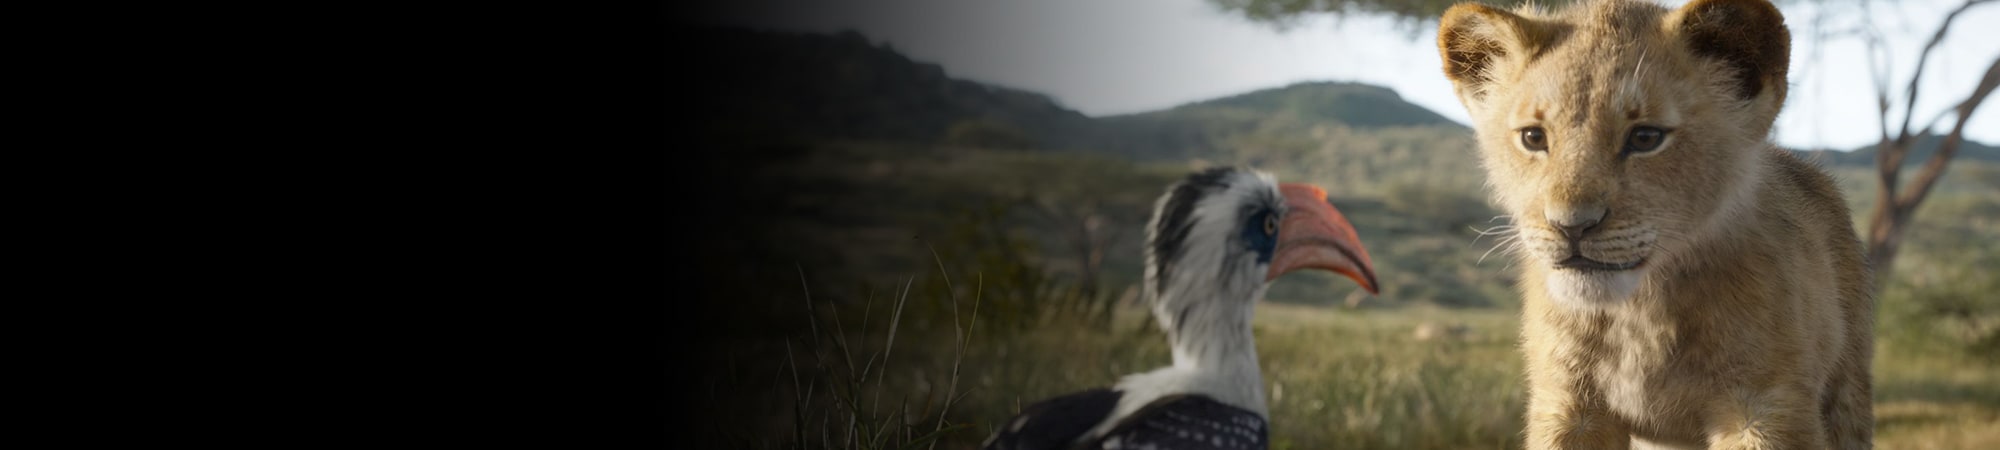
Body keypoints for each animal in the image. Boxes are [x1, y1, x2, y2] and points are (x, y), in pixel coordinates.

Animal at [1433, 0, 1875, 448]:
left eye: (1645, 138)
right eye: (1533, 138)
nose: (1571, 226)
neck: (1639, 314)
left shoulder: (1764, 405)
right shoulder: (1568, 403)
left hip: (1847, 390)